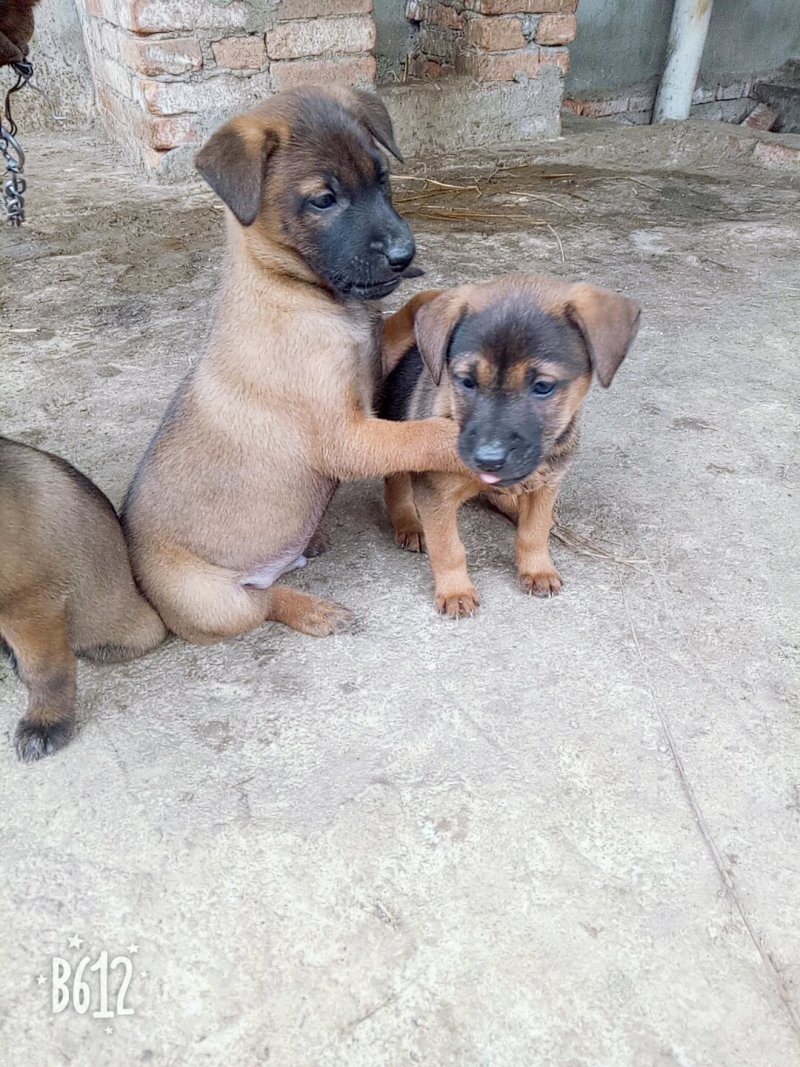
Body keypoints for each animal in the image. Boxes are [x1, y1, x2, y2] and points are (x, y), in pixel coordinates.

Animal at [122, 87, 467, 644]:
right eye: (323, 200)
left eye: (382, 177)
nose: (404, 255)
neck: (296, 289)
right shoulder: (347, 437)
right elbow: (420, 435)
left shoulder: (370, 366)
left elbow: (404, 317)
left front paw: (438, 300)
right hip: (212, 598)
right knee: (261, 604)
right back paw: (317, 611)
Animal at [379, 275, 644, 618]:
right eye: (466, 382)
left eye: (543, 386)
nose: (488, 459)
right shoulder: (435, 493)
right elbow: (448, 548)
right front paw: (455, 591)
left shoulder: (548, 483)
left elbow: (534, 533)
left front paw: (537, 569)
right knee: (396, 486)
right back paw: (409, 523)